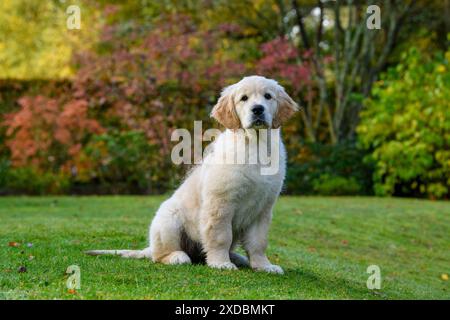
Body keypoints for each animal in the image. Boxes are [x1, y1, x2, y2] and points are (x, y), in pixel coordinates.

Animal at [88, 76, 298, 274]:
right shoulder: (220, 204)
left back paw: (237, 258)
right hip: (169, 219)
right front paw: (221, 263)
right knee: (161, 255)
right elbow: (221, 236)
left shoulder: (263, 208)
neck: (255, 143)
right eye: (244, 98)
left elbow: (258, 242)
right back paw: (178, 256)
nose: (258, 109)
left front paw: (264, 266)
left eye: (268, 96)